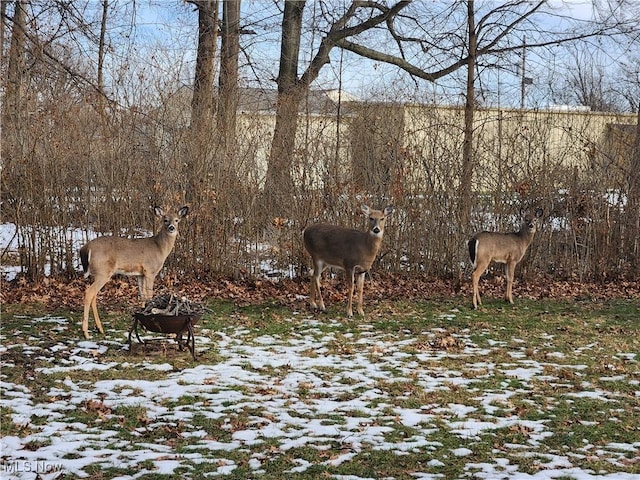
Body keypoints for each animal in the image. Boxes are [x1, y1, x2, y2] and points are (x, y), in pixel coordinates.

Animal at [78, 205, 188, 338]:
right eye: (165, 220)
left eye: (177, 220)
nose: (171, 227)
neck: (160, 248)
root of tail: (85, 248)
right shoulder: (150, 270)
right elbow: (149, 295)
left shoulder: (140, 274)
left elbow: (142, 296)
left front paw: (143, 323)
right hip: (103, 271)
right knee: (89, 293)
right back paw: (86, 332)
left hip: (98, 273)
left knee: (93, 295)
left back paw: (100, 328)